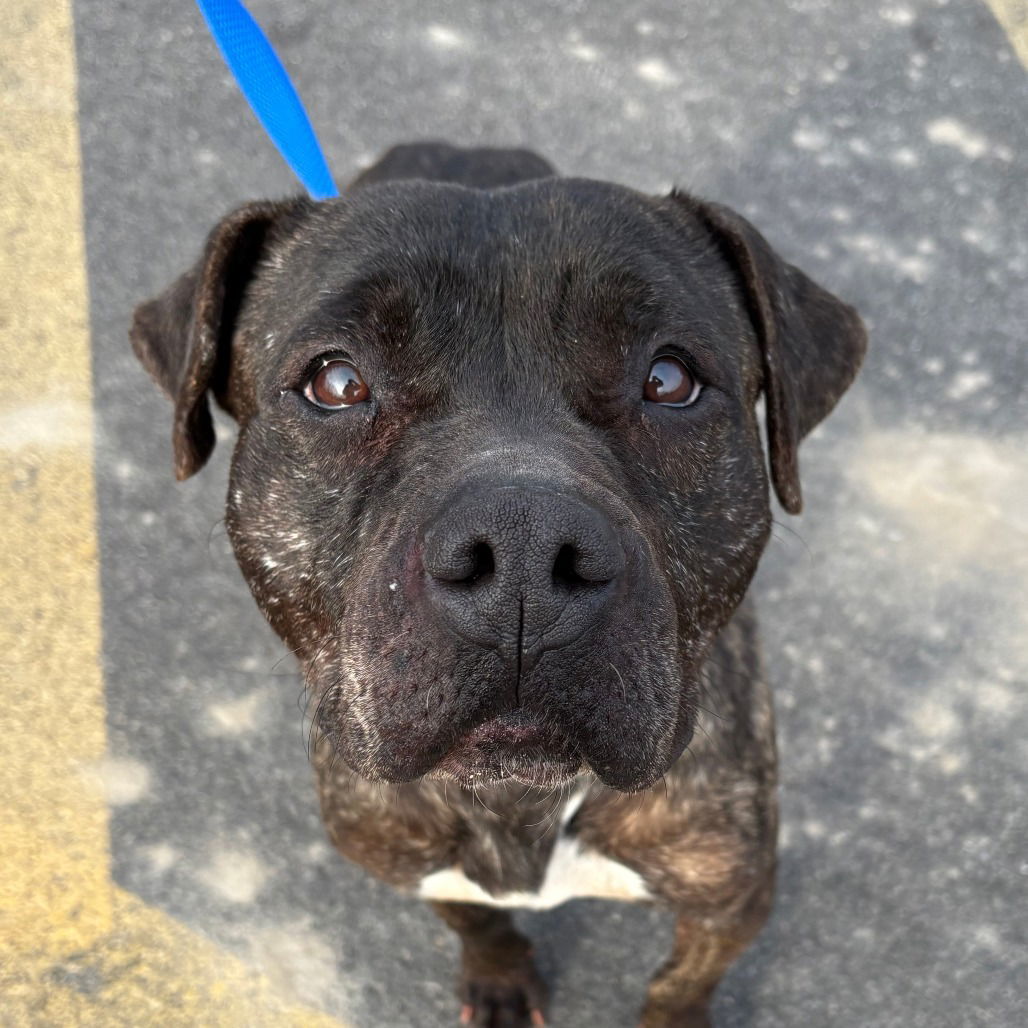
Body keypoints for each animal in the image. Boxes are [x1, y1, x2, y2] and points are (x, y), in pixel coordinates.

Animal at [130, 140, 867, 1023]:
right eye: (336, 384)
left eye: (669, 381)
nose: (523, 549)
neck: (523, 806)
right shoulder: (415, 858)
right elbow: (476, 921)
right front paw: (499, 977)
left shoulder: (730, 898)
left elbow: (679, 984)